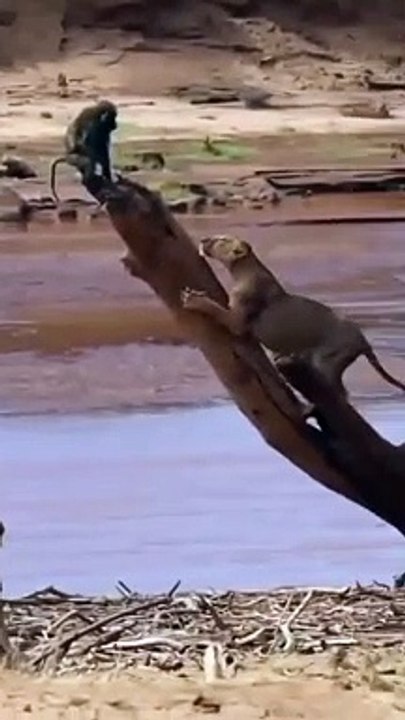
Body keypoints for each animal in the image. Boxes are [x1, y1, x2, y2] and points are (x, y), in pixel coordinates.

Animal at [181, 234, 405, 400]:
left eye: (221, 239)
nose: (203, 240)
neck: (244, 268)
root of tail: (363, 340)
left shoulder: (237, 322)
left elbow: (215, 308)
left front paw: (194, 299)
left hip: (327, 359)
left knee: (335, 392)